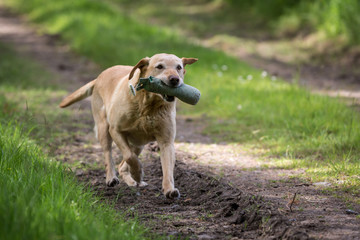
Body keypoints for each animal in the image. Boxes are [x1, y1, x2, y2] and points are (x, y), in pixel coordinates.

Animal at [60, 53, 198, 198]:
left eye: (179, 67)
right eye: (160, 66)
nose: (175, 79)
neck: (148, 106)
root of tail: (99, 77)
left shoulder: (166, 141)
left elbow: (167, 169)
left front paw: (169, 189)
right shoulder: (115, 130)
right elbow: (129, 156)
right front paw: (137, 174)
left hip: (138, 144)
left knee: (122, 165)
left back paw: (132, 182)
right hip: (104, 129)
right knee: (109, 155)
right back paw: (112, 178)